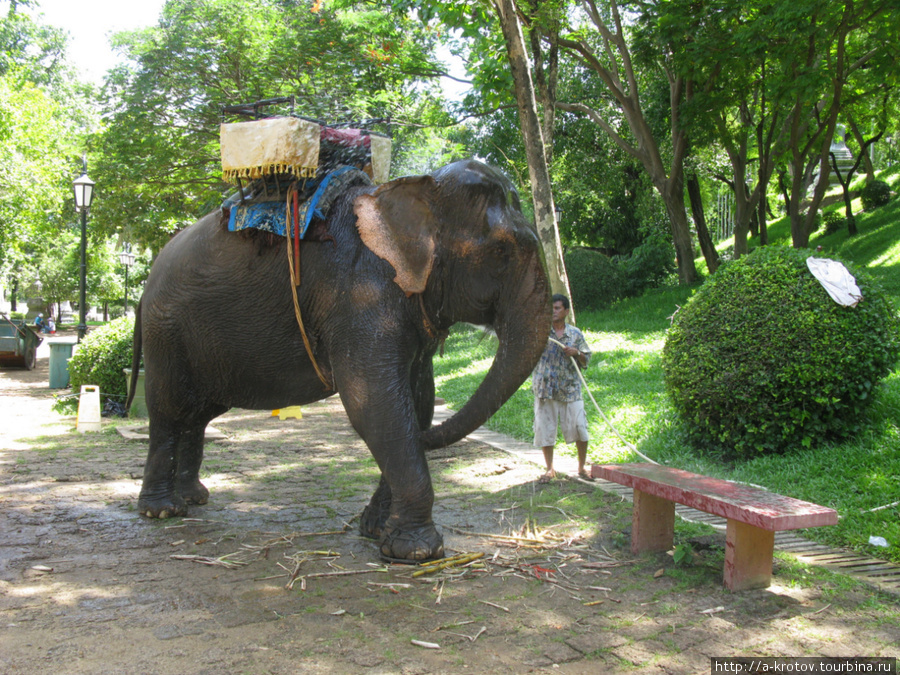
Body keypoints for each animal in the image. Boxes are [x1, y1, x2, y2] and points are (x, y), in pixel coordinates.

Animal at [126, 158, 548, 560]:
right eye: (501, 251)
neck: (409, 191)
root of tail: (144, 289)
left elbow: (417, 401)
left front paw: (377, 530)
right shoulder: (360, 295)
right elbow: (375, 406)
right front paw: (416, 552)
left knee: (197, 415)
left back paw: (195, 497)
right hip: (166, 333)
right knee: (167, 409)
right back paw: (162, 510)